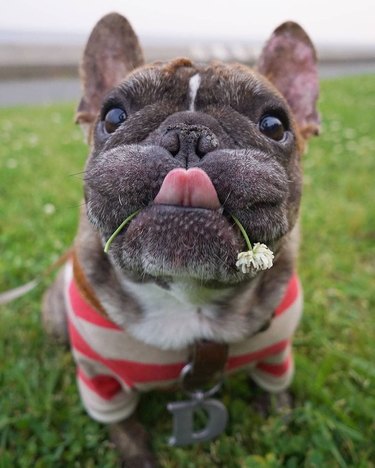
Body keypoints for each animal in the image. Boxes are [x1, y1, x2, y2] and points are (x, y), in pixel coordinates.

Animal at [43, 12, 320, 466]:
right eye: (113, 116)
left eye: (274, 125)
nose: (189, 133)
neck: (191, 297)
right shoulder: (102, 381)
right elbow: (124, 427)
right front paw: (139, 456)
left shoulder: (277, 352)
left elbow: (276, 387)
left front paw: (280, 420)